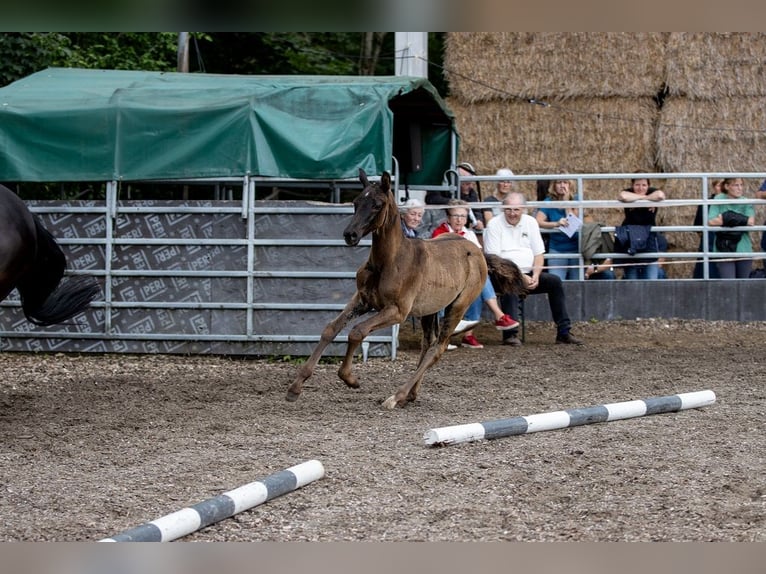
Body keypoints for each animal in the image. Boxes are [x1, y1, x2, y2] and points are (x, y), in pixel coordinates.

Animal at [288, 169, 528, 412]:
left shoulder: (397, 311)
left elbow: (357, 331)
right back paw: (410, 394)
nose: (350, 234)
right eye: (356, 202)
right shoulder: (362, 300)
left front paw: (350, 378)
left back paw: (397, 396)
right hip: (430, 309)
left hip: (458, 306)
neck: (389, 261)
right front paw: (295, 386)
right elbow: (331, 329)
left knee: (438, 348)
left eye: (377, 205)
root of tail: (479, 251)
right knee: (428, 343)